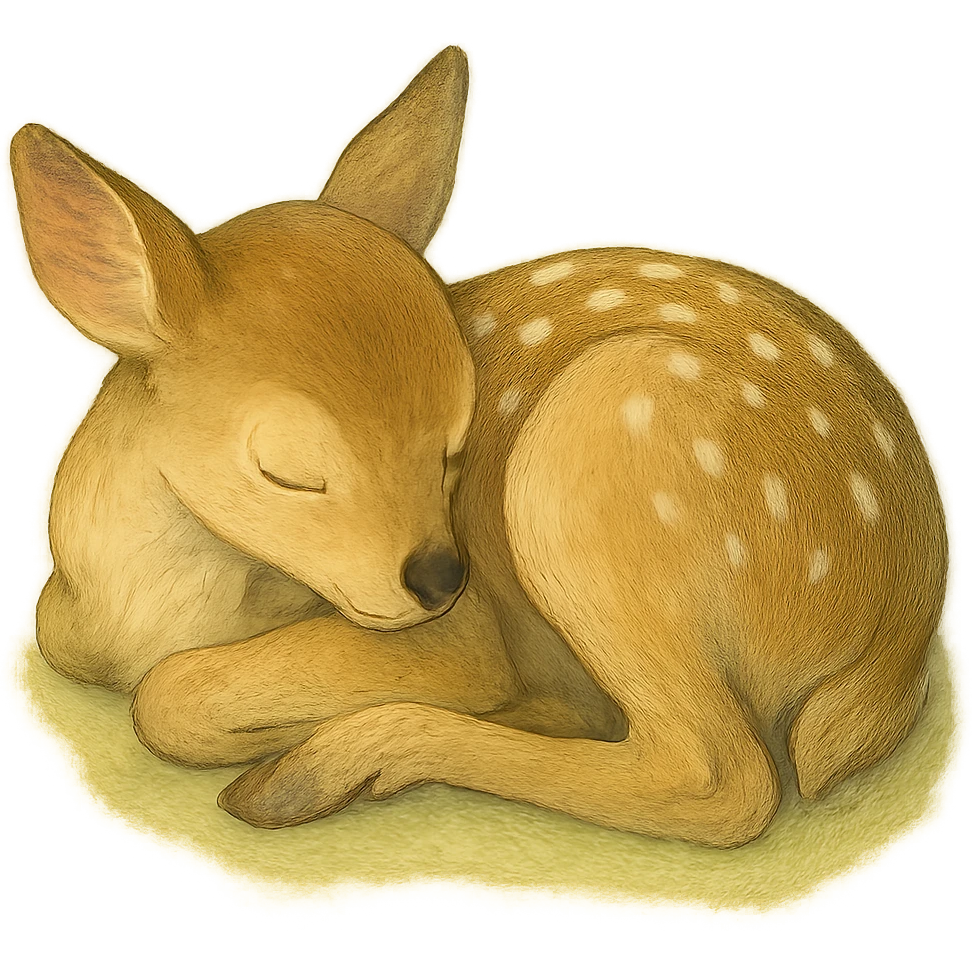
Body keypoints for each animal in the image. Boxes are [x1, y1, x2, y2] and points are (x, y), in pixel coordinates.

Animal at [7, 43, 948, 849]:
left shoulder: (461, 641)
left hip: (594, 457)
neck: (144, 607)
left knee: (725, 780)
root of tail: (905, 625)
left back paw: (317, 773)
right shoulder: (62, 621)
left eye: (457, 442)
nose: (440, 578)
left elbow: (170, 696)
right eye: (287, 470)